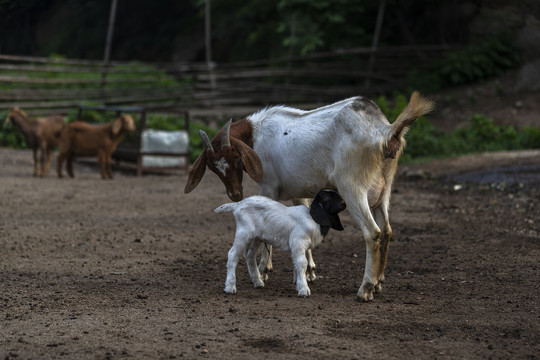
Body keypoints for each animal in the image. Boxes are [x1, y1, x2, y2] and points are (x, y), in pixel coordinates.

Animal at [215, 190, 346, 296]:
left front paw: (298, 285)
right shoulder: (298, 242)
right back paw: (230, 287)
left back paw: (257, 281)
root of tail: (238, 205)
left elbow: (296, 264)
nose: (344, 202)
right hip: (244, 232)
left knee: (250, 255)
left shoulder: (298, 247)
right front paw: (304, 289)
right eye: (325, 198)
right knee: (233, 255)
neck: (314, 220)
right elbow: (302, 264)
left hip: (256, 237)